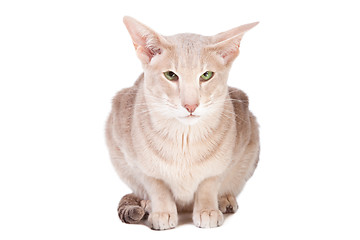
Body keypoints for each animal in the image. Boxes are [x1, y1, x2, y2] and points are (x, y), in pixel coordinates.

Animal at [105, 15, 260, 230]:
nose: (190, 105)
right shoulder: (134, 160)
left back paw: (225, 199)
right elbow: (157, 186)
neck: (184, 139)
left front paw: (207, 209)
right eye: (171, 75)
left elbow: (209, 183)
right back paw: (147, 203)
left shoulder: (228, 159)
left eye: (206, 75)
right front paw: (162, 211)